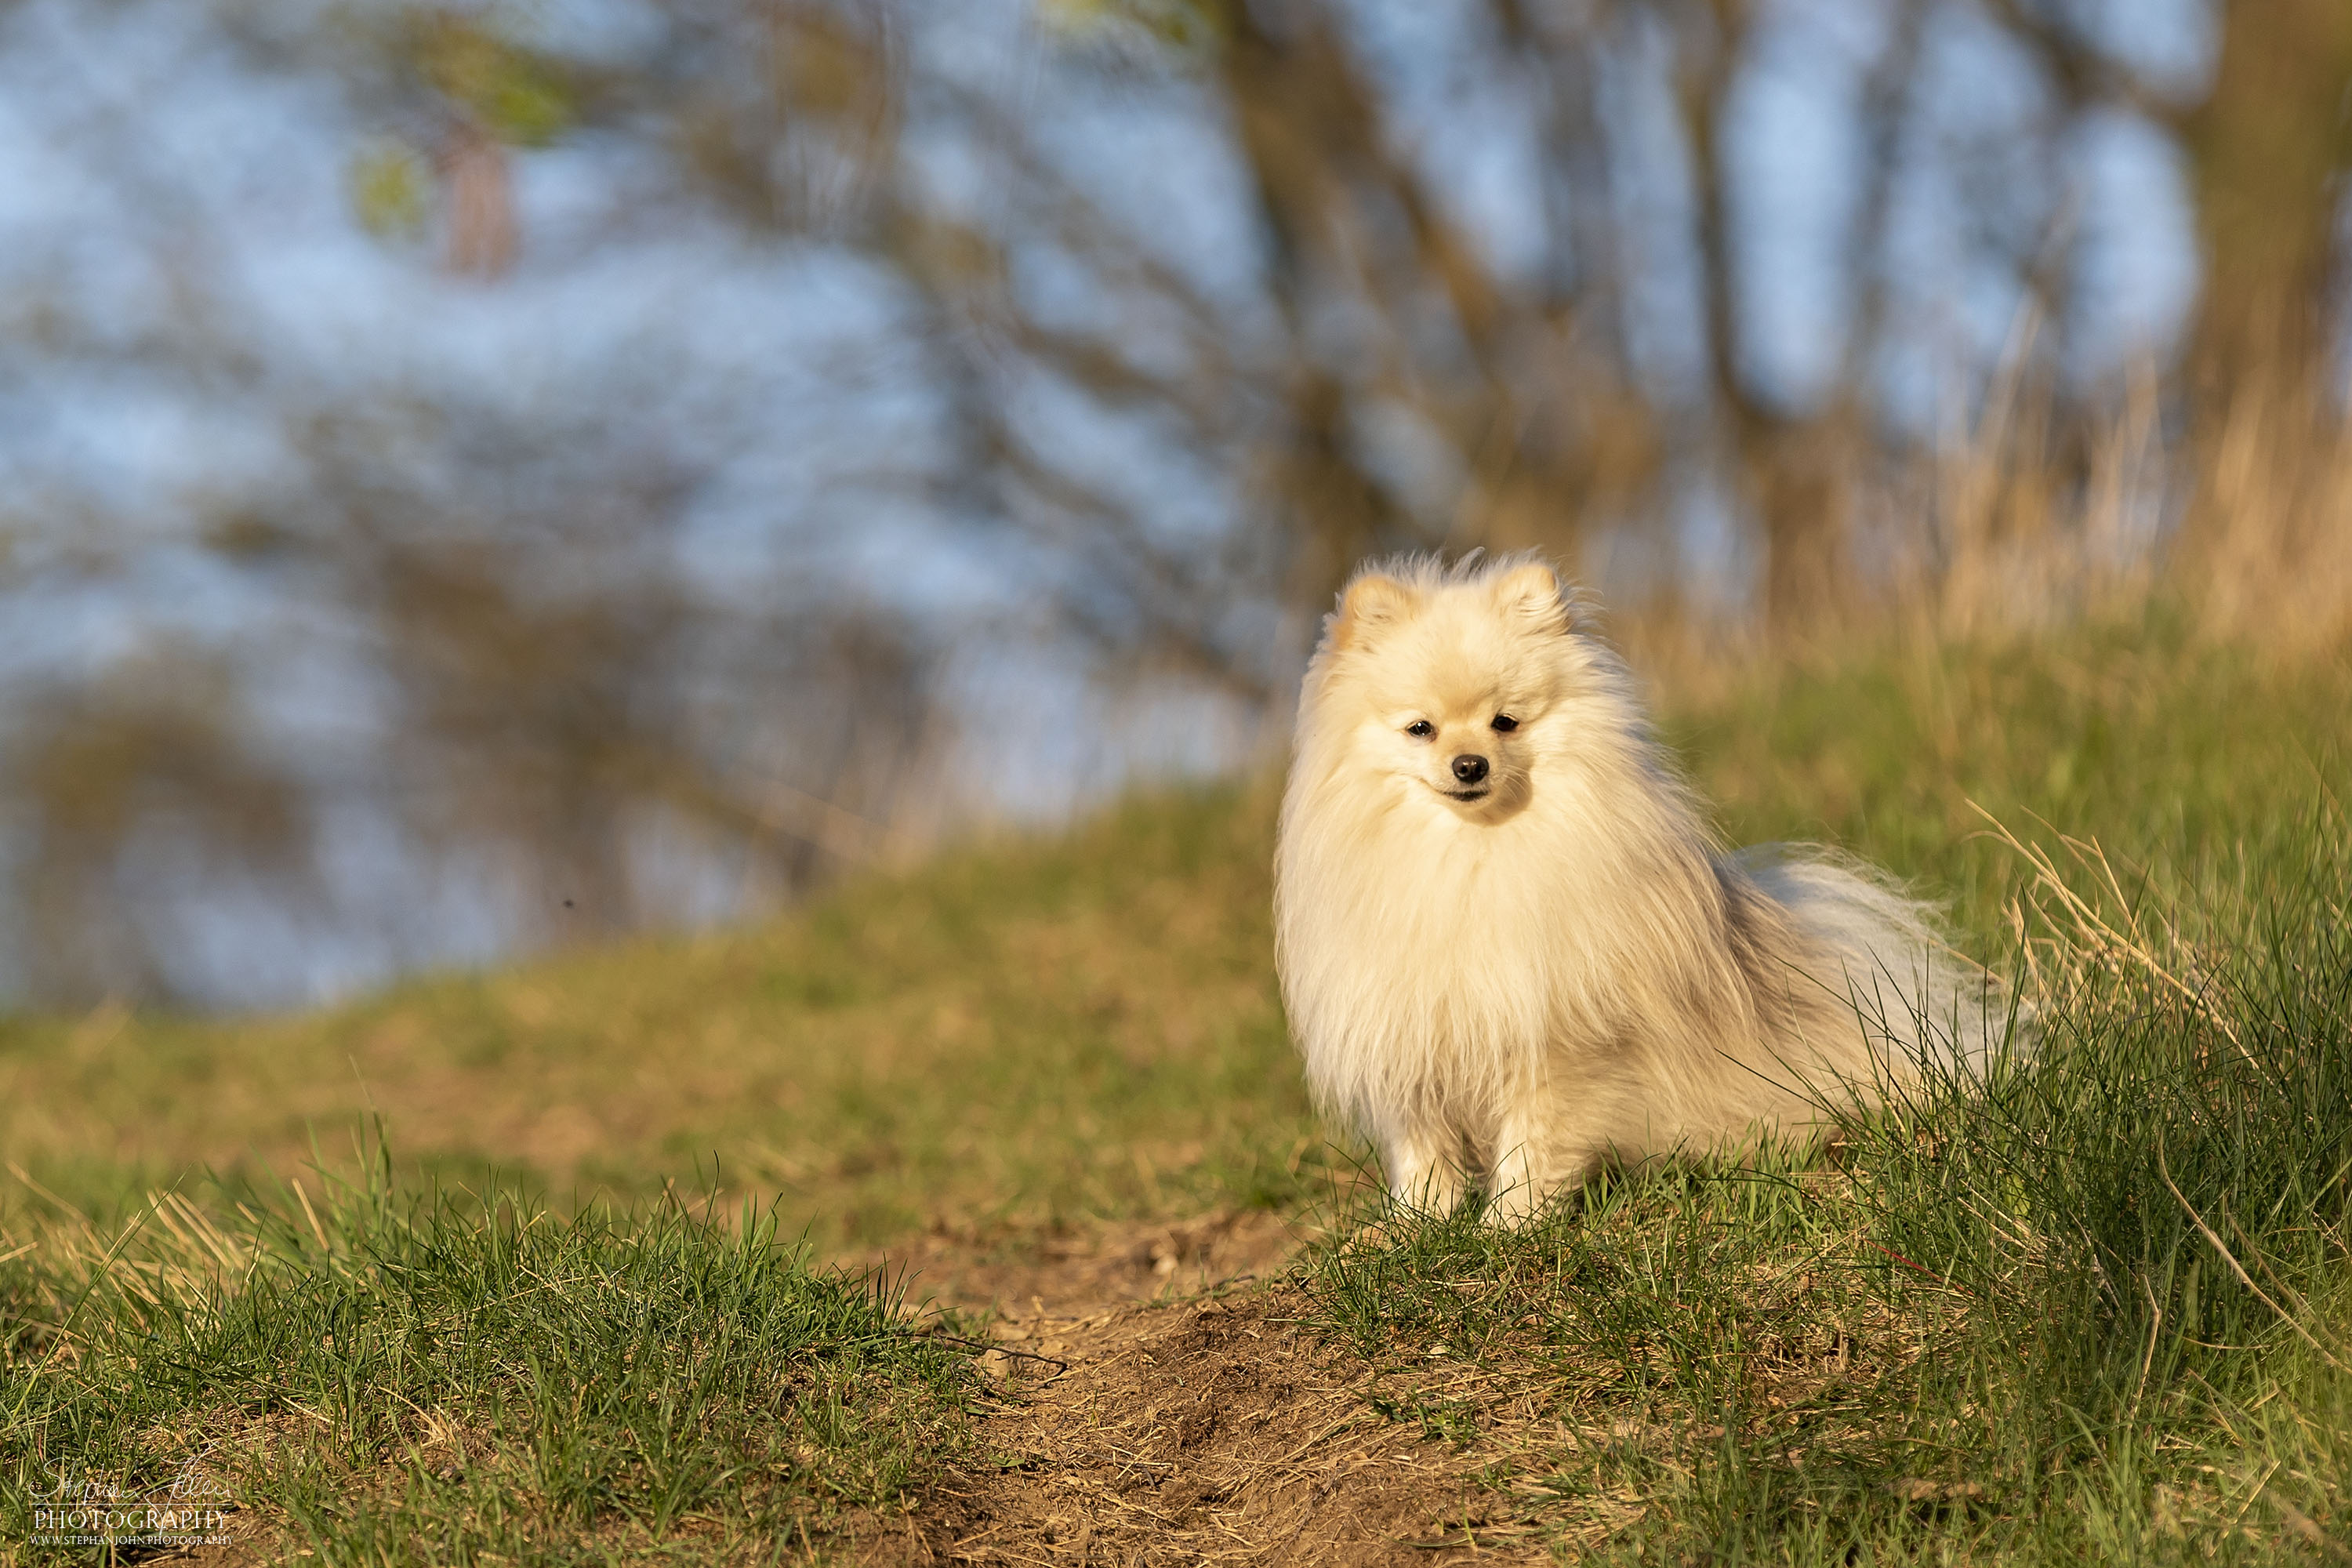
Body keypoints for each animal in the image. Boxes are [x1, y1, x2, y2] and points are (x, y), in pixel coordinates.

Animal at [1279, 557, 1994, 1222]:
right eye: (1420, 728)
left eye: (1505, 722)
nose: (1470, 765)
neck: (1470, 853)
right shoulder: (1411, 1034)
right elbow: (1423, 1150)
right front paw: (1414, 1227)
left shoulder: (1557, 1042)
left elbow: (1532, 1149)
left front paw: (1507, 1227)